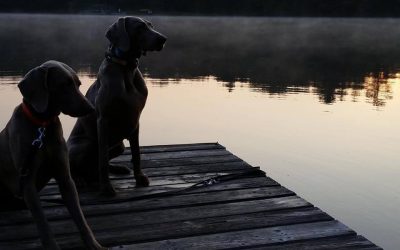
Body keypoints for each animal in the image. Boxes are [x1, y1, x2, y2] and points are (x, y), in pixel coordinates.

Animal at [0, 60, 106, 250]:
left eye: (78, 84)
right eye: (64, 84)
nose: (91, 108)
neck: (43, 126)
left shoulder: (65, 178)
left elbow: (80, 218)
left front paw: (94, 244)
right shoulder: (27, 182)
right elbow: (43, 222)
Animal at [67, 16, 166, 196]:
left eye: (151, 25)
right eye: (140, 27)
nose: (163, 39)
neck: (126, 68)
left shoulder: (135, 121)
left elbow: (136, 153)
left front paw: (139, 177)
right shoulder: (103, 120)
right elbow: (102, 159)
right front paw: (106, 187)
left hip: (119, 145)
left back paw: (118, 168)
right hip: (84, 144)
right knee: (78, 166)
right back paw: (79, 179)